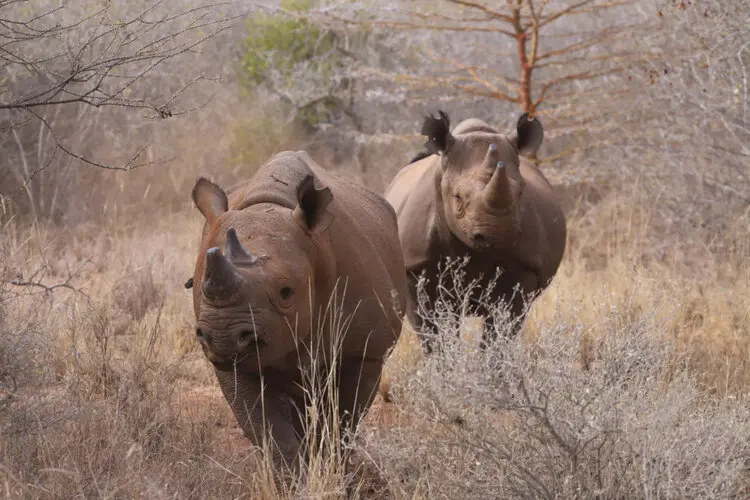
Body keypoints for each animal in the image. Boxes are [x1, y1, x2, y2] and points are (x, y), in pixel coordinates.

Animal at [189, 151, 412, 472]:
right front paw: (294, 476)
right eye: (201, 288)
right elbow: (267, 429)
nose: (222, 336)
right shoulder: (237, 364)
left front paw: (332, 469)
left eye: (286, 293)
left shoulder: (365, 352)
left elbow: (342, 420)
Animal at [384, 110, 568, 352]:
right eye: (457, 198)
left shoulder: (525, 272)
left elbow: (500, 334)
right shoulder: (415, 269)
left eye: (520, 194)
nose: (497, 233)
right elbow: (433, 333)